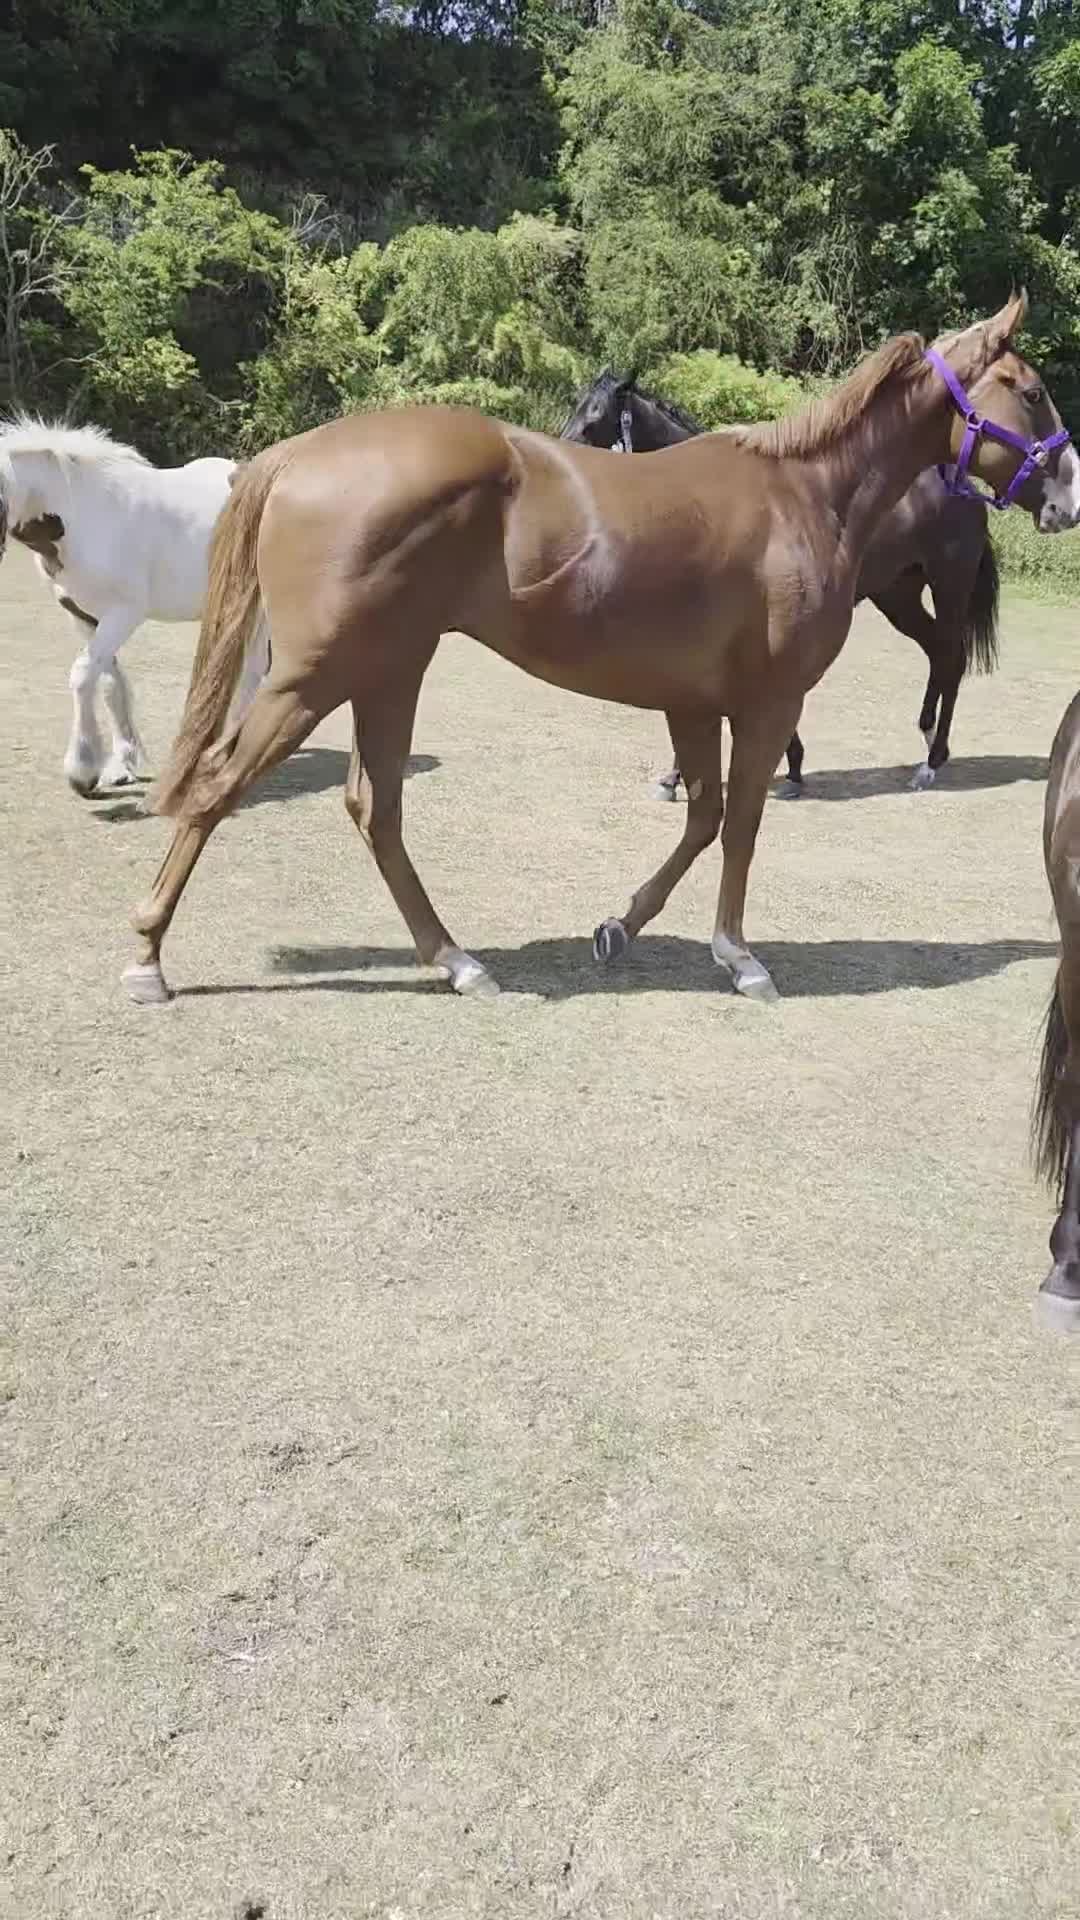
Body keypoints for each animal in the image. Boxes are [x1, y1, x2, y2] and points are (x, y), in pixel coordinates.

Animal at [0, 417, 238, 794]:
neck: (84, 514)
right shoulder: (84, 617)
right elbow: (110, 683)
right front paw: (121, 765)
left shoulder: (123, 615)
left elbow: (82, 675)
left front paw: (83, 769)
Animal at [561, 371, 998, 798]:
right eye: (577, 404)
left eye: (594, 416)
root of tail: (970, 494)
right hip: (898, 596)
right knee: (937, 653)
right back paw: (927, 738)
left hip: (949, 587)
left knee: (952, 658)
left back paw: (932, 763)